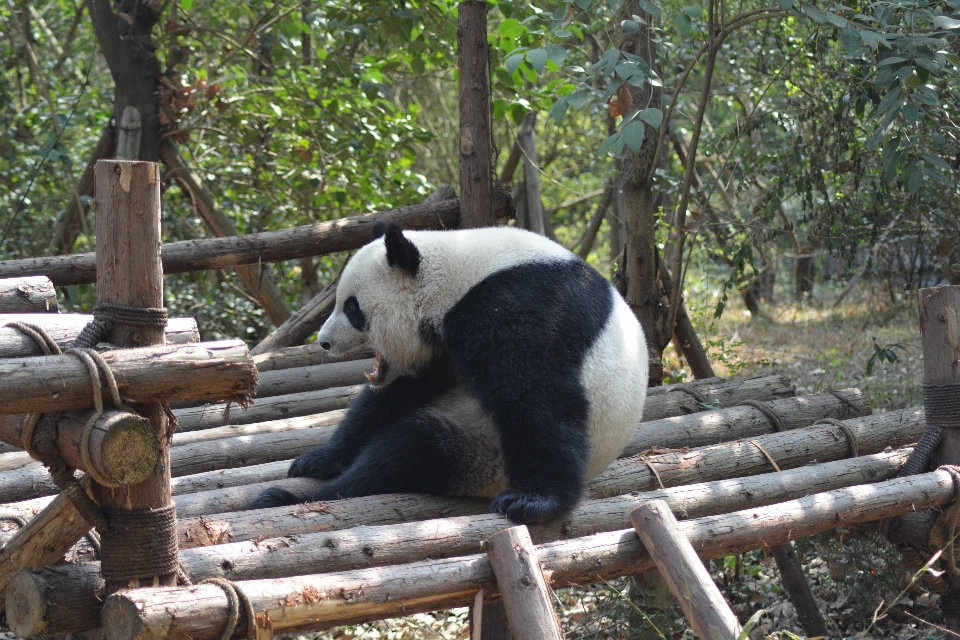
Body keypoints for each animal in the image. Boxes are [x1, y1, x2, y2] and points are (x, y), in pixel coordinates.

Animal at [251, 222, 648, 524]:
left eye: (352, 308)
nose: (324, 342)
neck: (455, 274)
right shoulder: (440, 347)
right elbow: (399, 393)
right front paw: (320, 458)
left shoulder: (515, 303)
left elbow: (535, 394)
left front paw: (535, 501)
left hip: (482, 449)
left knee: (406, 453)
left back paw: (286, 498)